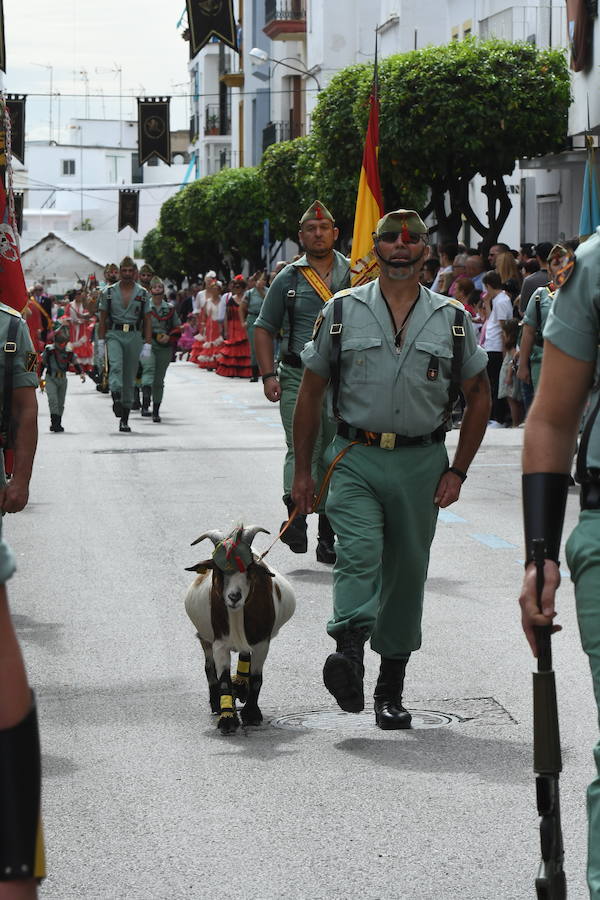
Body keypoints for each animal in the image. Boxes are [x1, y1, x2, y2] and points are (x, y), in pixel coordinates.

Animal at [183, 524, 296, 736]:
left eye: (249, 569)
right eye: (217, 569)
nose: (234, 596)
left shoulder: (262, 642)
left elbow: (257, 677)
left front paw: (252, 714)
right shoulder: (220, 643)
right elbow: (224, 680)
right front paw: (227, 719)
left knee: (244, 655)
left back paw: (242, 686)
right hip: (205, 639)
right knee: (209, 667)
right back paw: (216, 703)